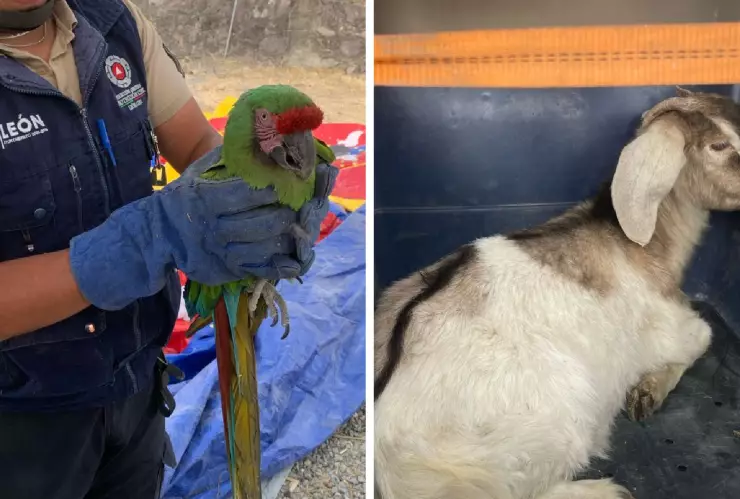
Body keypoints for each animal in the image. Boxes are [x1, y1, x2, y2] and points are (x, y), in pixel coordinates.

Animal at [374, 89, 740, 499]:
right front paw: (649, 390)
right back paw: (606, 490)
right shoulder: (673, 327)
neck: (638, 242)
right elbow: (703, 337)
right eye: (719, 144)